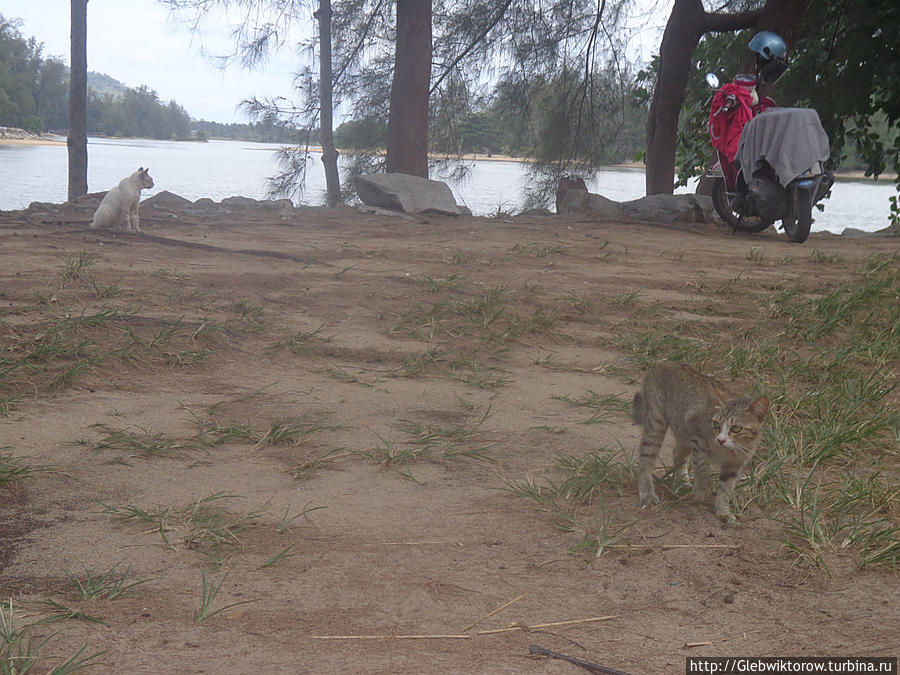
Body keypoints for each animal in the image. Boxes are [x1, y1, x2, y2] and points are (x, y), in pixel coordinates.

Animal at [628, 364, 768, 524]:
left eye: (736, 428)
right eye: (716, 424)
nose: (720, 440)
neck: (729, 451)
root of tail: (664, 365)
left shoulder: (734, 465)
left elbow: (725, 489)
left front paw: (723, 511)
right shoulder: (698, 439)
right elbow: (703, 471)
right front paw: (701, 494)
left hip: (683, 432)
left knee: (677, 454)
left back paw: (682, 481)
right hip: (657, 423)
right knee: (645, 460)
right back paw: (647, 493)